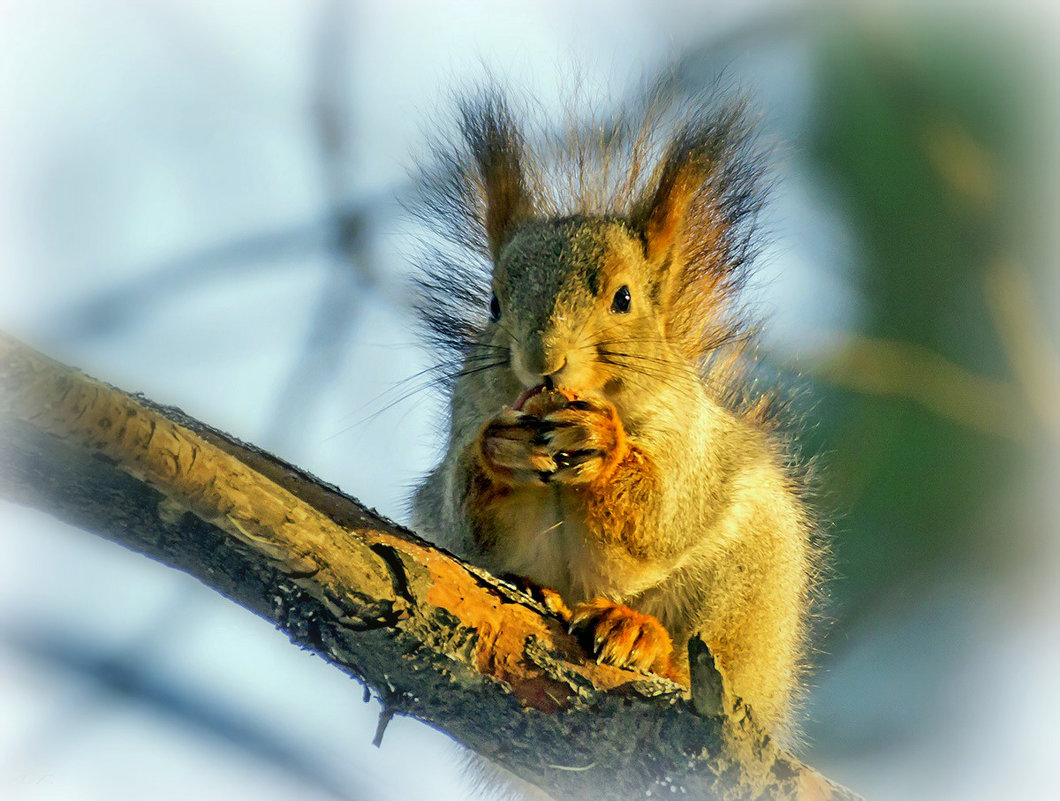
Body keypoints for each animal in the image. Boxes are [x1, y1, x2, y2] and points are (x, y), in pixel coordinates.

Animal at [409, 84, 822, 741]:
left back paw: (638, 634)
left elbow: (657, 520)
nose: (543, 361)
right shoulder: (463, 419)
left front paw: (604, 445)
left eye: (623, 298)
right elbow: (468, 513)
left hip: (748, 584)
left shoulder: (686, 440)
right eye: (494, 304)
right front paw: (500, 450)